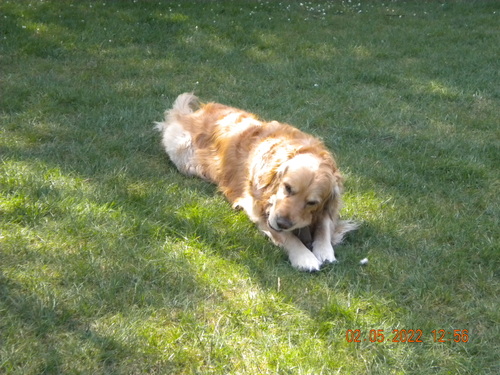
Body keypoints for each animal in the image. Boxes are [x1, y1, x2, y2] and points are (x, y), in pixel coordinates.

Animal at [154, 93, 358, 272]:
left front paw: (324, 251)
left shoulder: (327, 208)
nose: (282, 222)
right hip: (184, 154)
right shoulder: (259, 209)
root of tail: (190, 113)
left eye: (312, 202)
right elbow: (287, 237)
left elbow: (324, 225)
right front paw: (304, 257)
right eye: (287, 188)